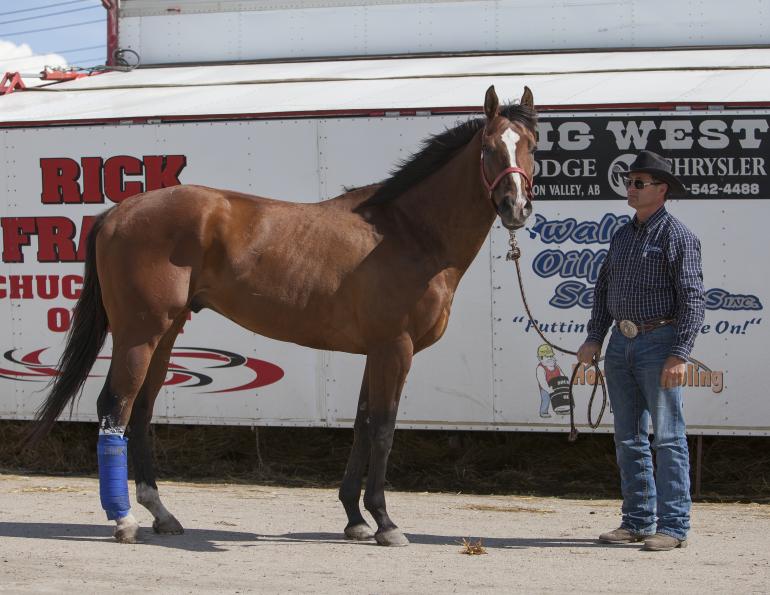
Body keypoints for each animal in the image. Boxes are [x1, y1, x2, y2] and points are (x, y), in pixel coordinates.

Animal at [26, 85, 537, 546]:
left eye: (531, 145)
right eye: (489, 147)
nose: (516, 207)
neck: (408, 232)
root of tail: (116, 212)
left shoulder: (375, 352)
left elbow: (361, 425)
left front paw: (354, 518)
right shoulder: (395, 348)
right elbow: (383, 429)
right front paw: (385, 522)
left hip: (165, 333)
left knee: (142, 410)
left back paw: (161, 513)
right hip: (140, 332)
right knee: (115, 407)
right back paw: (123, 520)